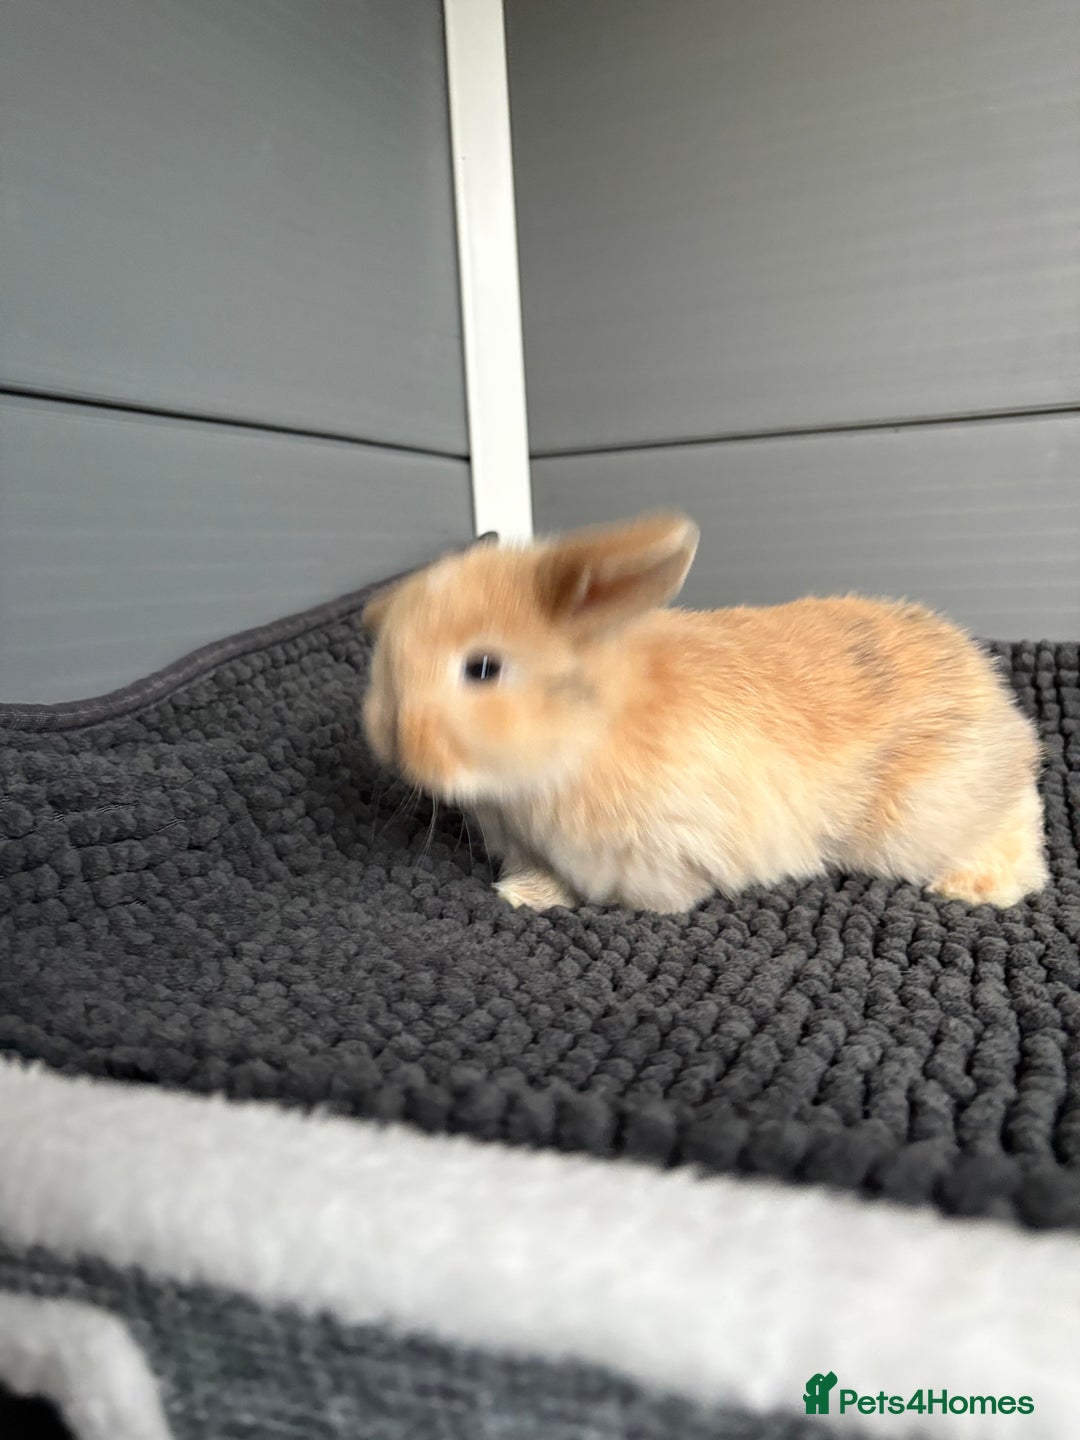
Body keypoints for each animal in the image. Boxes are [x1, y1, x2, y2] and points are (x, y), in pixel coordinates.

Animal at [361, 513, 1048, 914]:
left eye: (482, 668)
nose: (391, 743)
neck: (595, 727)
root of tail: (998, 703)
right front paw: (525, 895)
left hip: (922, 814)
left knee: (1014, 827)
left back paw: (974, 887)